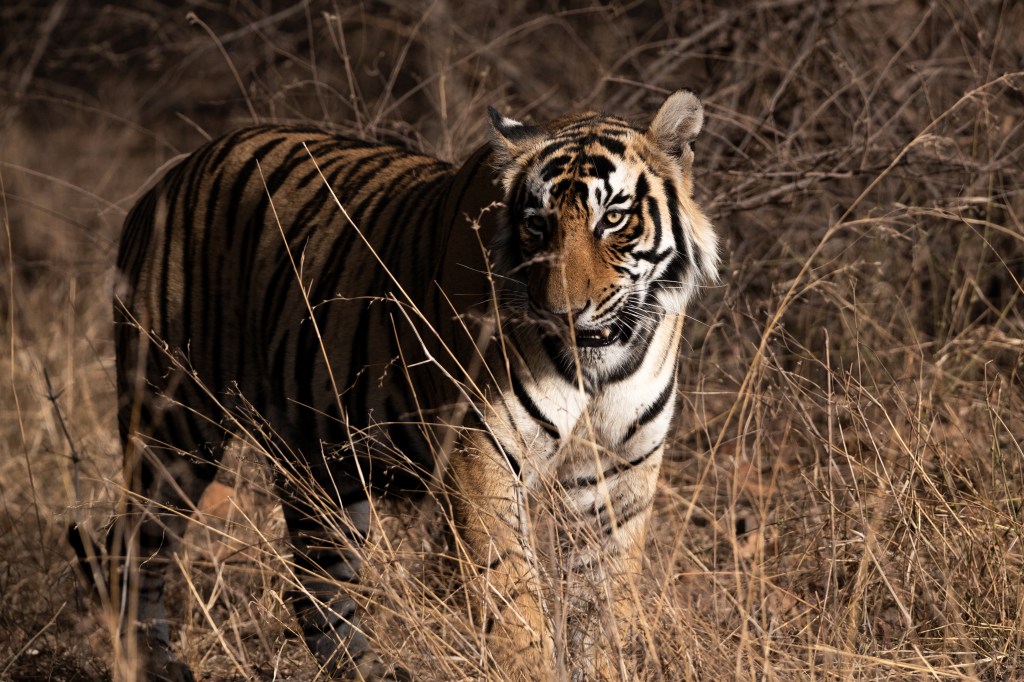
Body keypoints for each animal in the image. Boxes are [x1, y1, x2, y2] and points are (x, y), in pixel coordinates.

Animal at [71, 90, 718, 681]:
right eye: (536, 226)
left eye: (613, 219)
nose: (562, 311)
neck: (601, 365)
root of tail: (171, 173)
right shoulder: (481, 454)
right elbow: (512, 603)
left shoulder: (620, 469)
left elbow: (602, 608)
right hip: (176, 422)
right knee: (128, 545)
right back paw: (151, 663)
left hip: (319, 463)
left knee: (314, 583)